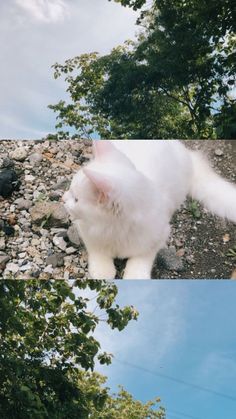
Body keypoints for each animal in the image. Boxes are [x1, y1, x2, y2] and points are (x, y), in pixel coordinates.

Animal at [62, 140, 236, 278]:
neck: (113, 228)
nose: (62, 199)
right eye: (70, 191)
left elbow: (141, 259)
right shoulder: (87, 231)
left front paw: (134, 276)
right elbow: (98, 251)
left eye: (76, 199)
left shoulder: (157, 237)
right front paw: (102, 272)